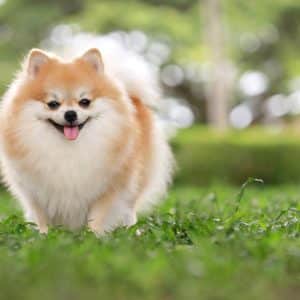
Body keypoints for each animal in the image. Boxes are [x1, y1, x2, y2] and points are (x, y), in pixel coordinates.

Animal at [0, 41, 173, 234]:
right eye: (53, 104)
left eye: (85, 102)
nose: (70, 114)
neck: (69, 149)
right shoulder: (36, 193)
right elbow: (42, 219)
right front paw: (45, 235)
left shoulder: (109, 188)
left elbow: (98, 216)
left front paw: (94, 235)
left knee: (129, 208)